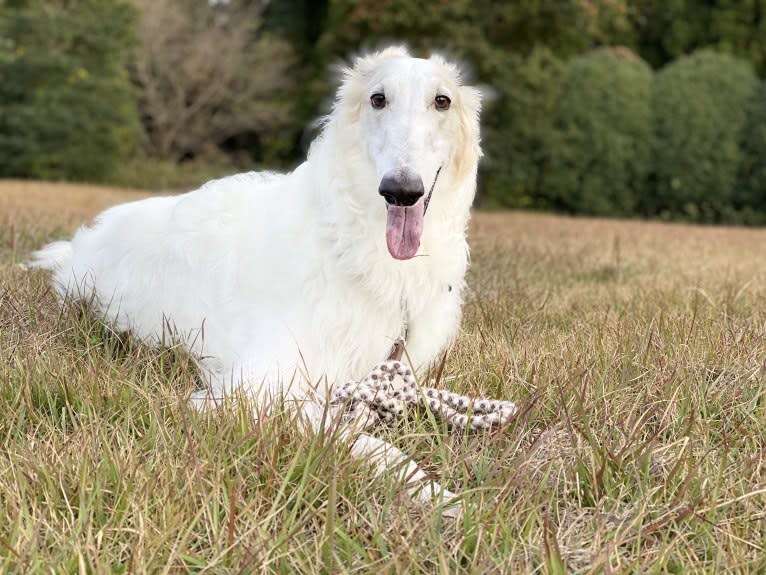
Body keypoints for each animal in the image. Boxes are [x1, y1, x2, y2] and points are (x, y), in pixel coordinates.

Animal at [31, 47, 486, 510]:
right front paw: (440, 496)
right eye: (378, 99)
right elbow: (365, 440)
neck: (350, 243)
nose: (401, 190)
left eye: (442, 101)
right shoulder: (253, 389)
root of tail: (83, 242)